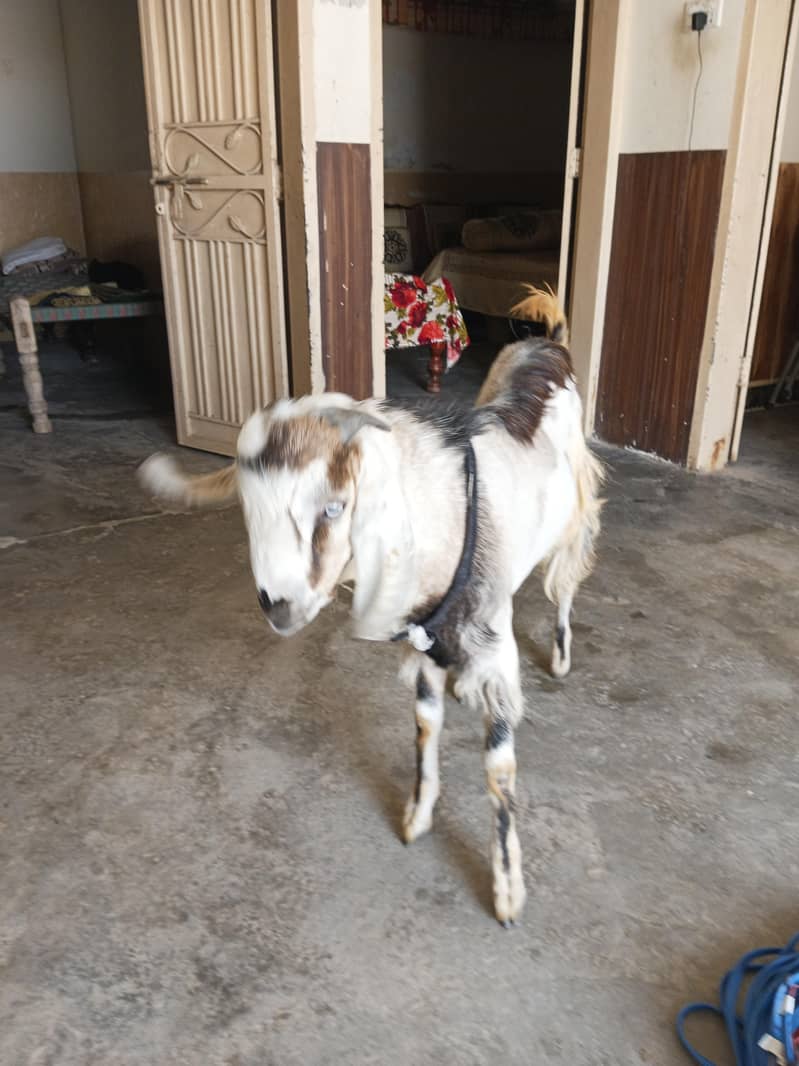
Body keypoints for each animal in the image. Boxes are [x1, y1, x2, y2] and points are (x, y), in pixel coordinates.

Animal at [138, 288, 603, 926]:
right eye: (247, 510)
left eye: (333, 507)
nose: (278, 607)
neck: (446, 512)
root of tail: (547, 341)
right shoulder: (426, 639)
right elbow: (425, 726)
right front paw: (416, 818)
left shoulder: (492, 647)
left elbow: (499, 771)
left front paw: (508, 893)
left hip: (575, 519)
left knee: (564, 587)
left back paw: (559, 656)